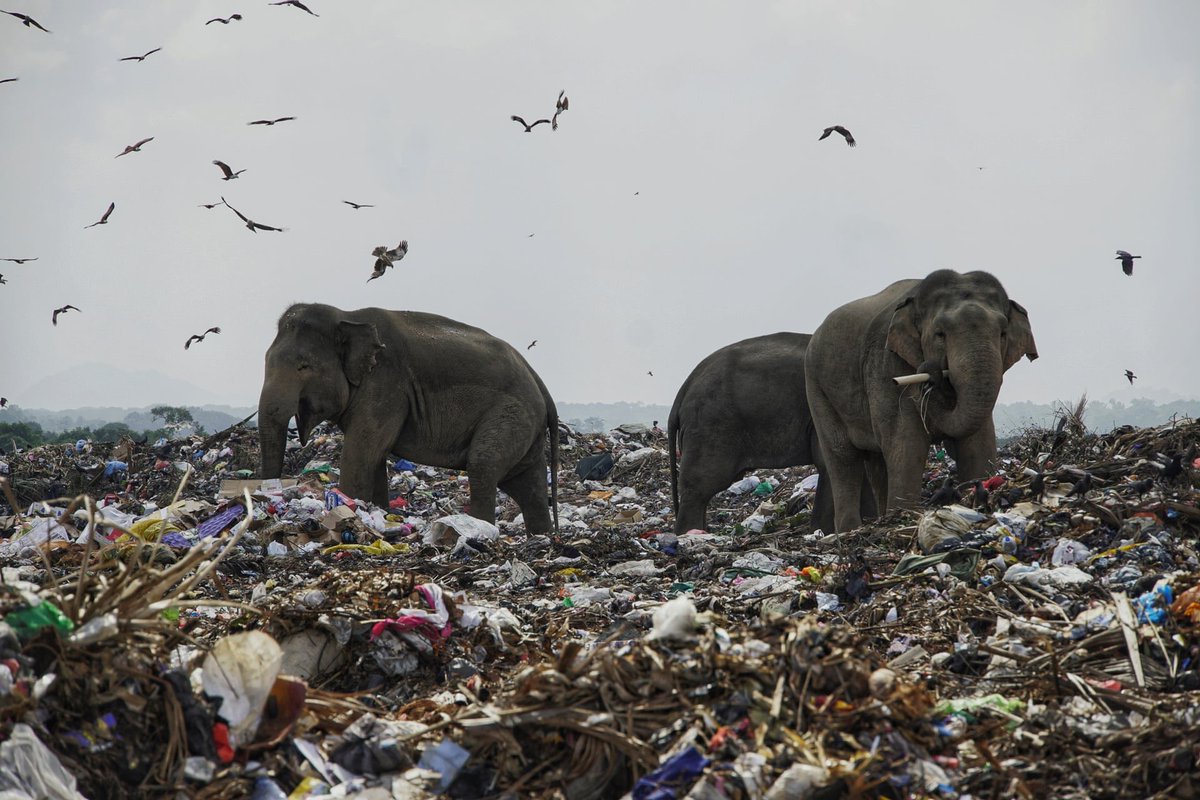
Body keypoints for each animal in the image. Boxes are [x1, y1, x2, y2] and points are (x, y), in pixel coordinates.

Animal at [258, 303, 559, 532]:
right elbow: (374, 457)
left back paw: (480, 530)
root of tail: (538, 380)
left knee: (483, 465)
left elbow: (360, 453)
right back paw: (540, 536)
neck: (347, 315)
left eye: (303, 366)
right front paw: (376, 511)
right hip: (526, 425)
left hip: (512, 414)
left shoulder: (387, 385)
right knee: (528, 486)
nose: (270, 491)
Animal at [668, 332, 876, 535]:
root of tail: (685, 387)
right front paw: (825, 531)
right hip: (711, 427)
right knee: (700, 488)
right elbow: (831, 462)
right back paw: (689, 533)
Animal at [805, 269, 1037, 533]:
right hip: (817, 388)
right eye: (940, 334)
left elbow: (979, 440)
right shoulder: (885, 367)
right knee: (843, 459)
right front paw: (903, 517)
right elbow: (907, 442)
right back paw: (850, 530)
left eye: (1002, 334)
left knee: (876, 460)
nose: (931, 373)